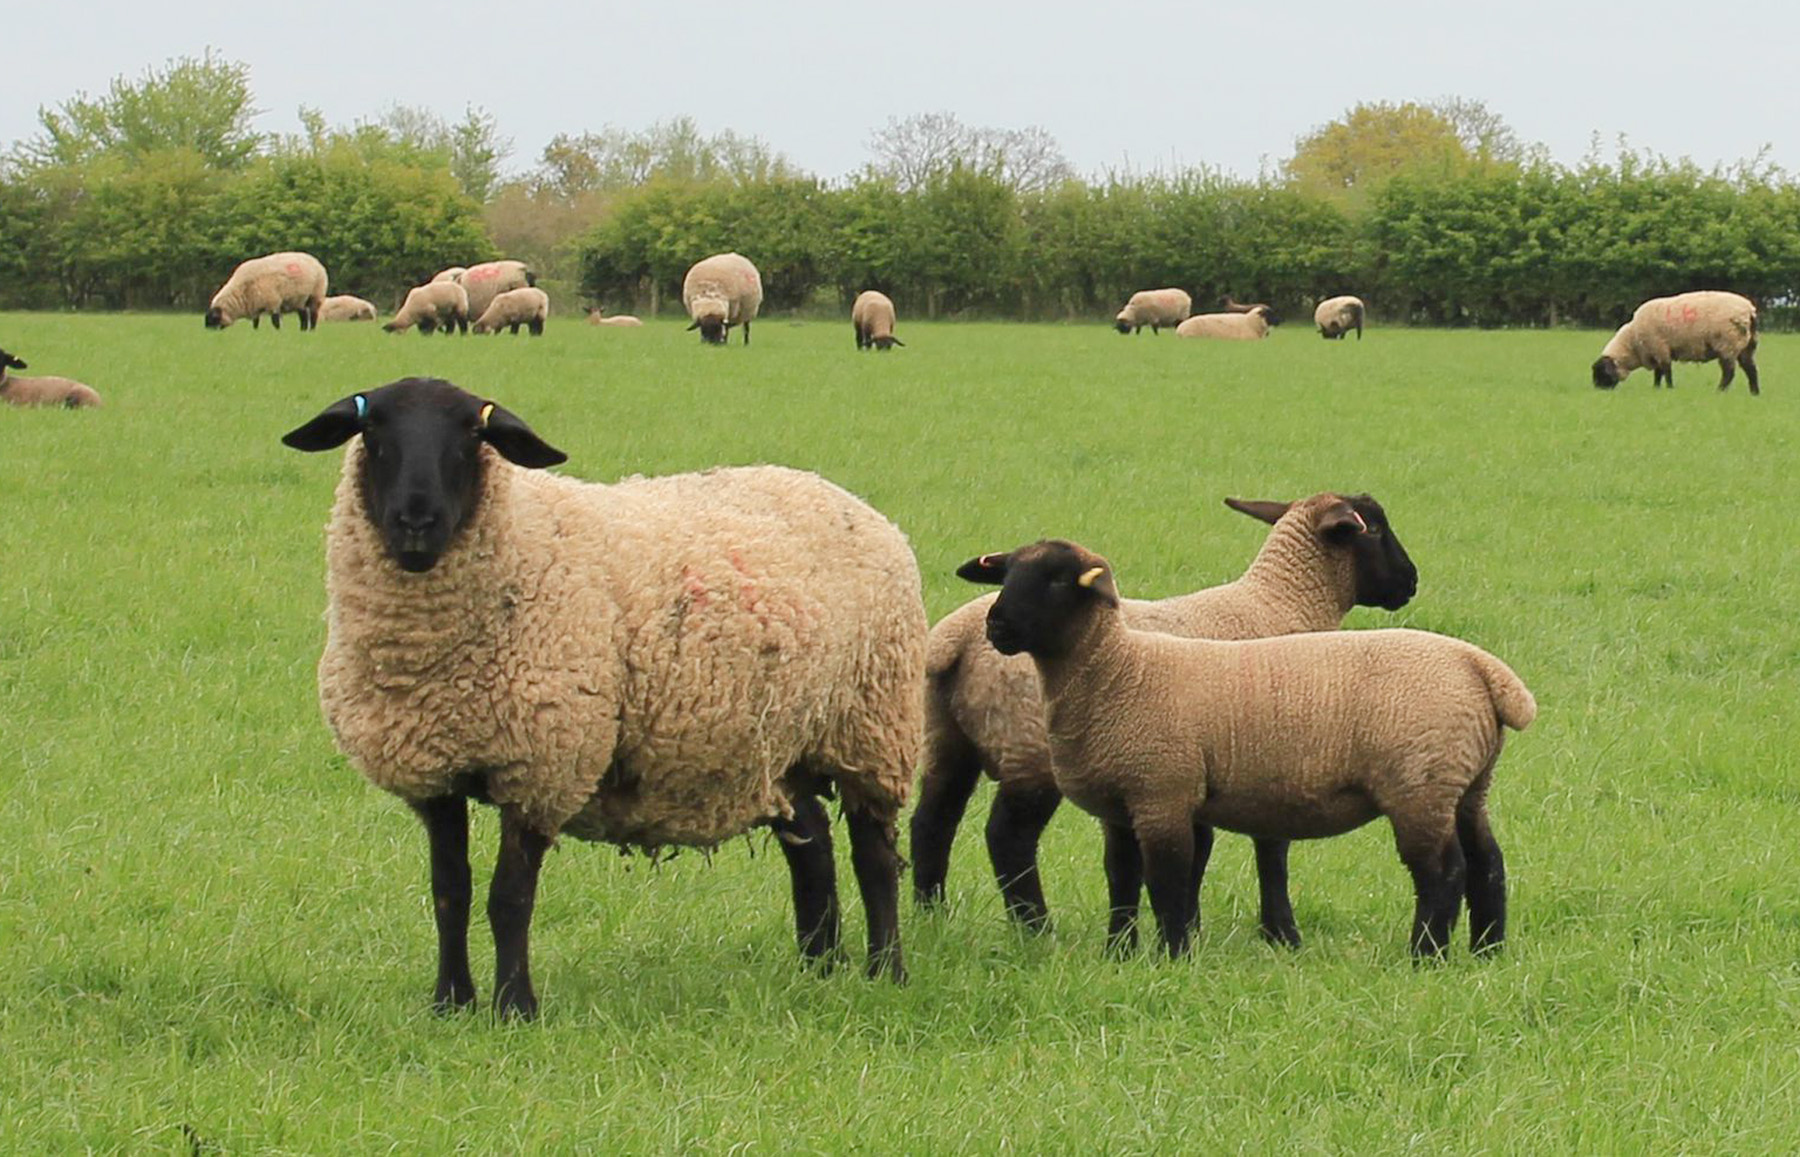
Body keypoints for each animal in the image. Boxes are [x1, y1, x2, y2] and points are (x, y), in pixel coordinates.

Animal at [280, 377, 924, 1018]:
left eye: (471, 435)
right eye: (373, 431)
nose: (417, 521)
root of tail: (840, 495)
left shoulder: (545, 766)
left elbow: (508, 899)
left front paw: (515, 1007)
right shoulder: (435, 773)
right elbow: (449, 893)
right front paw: (451, 1003)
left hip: (871, 728)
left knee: (873, 857)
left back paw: (884, 971)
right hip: (780, 743)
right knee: (811, 842)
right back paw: (819, 966)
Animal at [913, 493, 1418, 940]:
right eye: (1374, 528)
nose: (1410, 581)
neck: (1281, 604)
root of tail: (952, 639)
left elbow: (1196, 852)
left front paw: (1189, 924)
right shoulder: (1271, 758)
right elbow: (1270, 848)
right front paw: (1279, 932)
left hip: (948, 740)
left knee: (933, 821)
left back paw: (932, 914)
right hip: (1027, 749)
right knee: (1008, 838)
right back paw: (1036, 929)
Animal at [958, 538, 1533, 960]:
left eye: (1056, 580)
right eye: (1006, 574)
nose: (996, 625)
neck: (1120, 669)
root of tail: (1482, 669)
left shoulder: (1164, 792)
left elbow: (1166, 880)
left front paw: (1173, 956)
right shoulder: (1120, 804)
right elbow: (1121, 879)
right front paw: (1118, 953)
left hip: (1420, 783)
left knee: (1443, 870)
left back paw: (1425, 955)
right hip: (1466, 781)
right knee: (1487, 861)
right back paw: (1487, 951)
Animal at [1591, 291, 1760, 393]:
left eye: (1602, 372)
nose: (1599, 390)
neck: (1632, 343)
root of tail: (1749, 310)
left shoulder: (1659, 348)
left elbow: (1666, 371)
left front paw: (1669, 388)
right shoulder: (1656, 351)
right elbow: (1659, 373)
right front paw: (1656, 388)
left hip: (1727, 344)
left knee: (1729, 372)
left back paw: (1719, 391)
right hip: (1745, 346)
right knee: (1751, 369)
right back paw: (1754, 393)